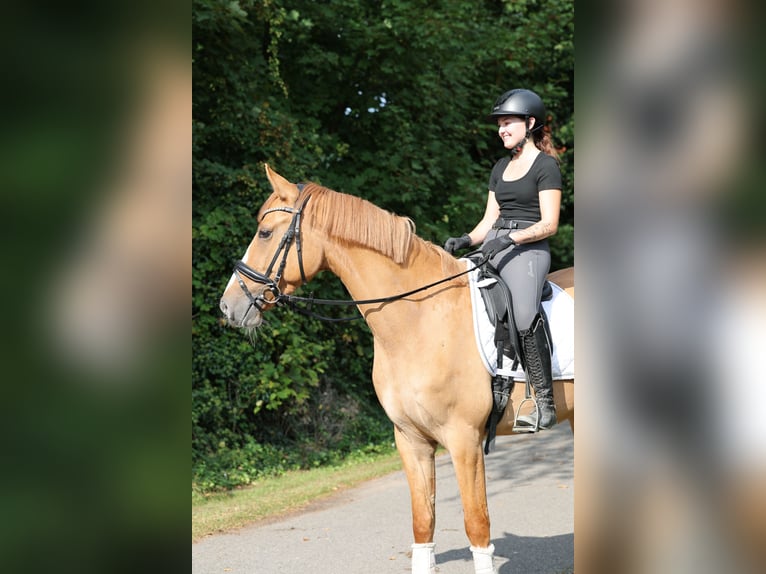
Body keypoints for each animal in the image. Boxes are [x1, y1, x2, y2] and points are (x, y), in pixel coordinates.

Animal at [219, 165, 572, 574]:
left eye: (264, 232)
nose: (228, 305)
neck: (418, 320)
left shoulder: (464, 439)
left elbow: (476, 524)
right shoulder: (410, 439)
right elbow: (423, 525)